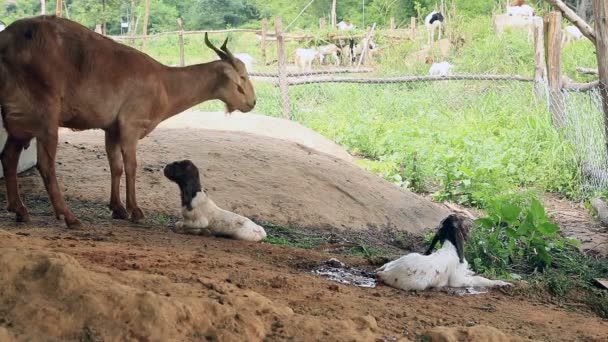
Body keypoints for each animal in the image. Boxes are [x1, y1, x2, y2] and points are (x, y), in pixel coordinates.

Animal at [0, 16, 254, 230]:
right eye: (241, 78)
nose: (252, 102)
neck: (164, 83)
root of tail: (6, 39)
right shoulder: (131, 125)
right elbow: (131, 166)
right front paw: (135, 211)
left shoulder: (112, 129)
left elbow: (116, 166)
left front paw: (118, 208)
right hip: (44, 115)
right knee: (45, 164)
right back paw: (69, 216)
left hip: (20, 120)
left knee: (9, 156)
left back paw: (20, 210)